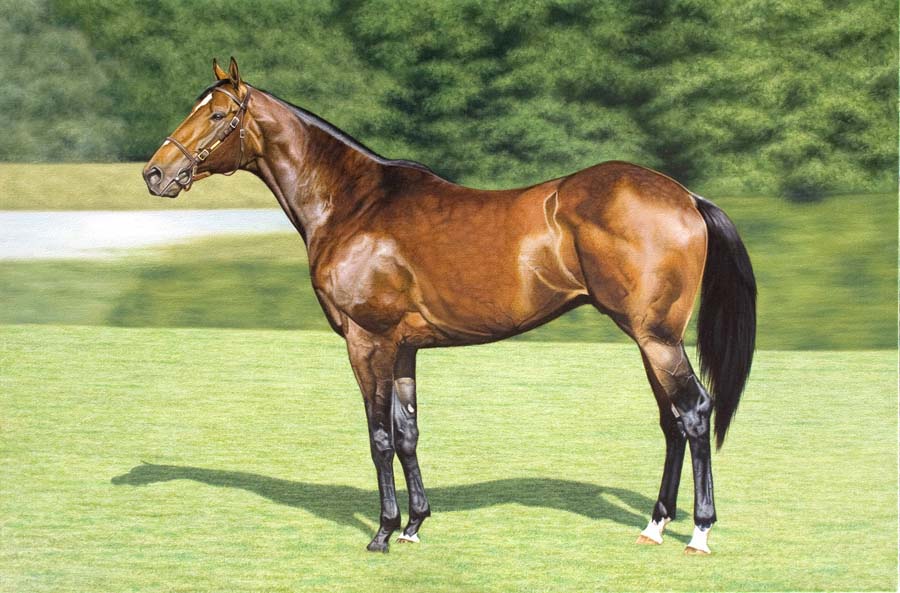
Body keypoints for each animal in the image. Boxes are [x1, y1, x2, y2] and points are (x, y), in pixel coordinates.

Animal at [143, 58, 756, 555]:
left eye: (219, 114)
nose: (155, 174)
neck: (354, 204)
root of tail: (686, 197)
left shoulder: (368, 340)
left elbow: (379, 437)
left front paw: (383, 532)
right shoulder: (404, 348)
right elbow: (408, 433)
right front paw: (415, 525)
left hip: (657, 338)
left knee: (695, 413)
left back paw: (699, 532)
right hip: (650, 339)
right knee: (672, 422)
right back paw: (654, 525)